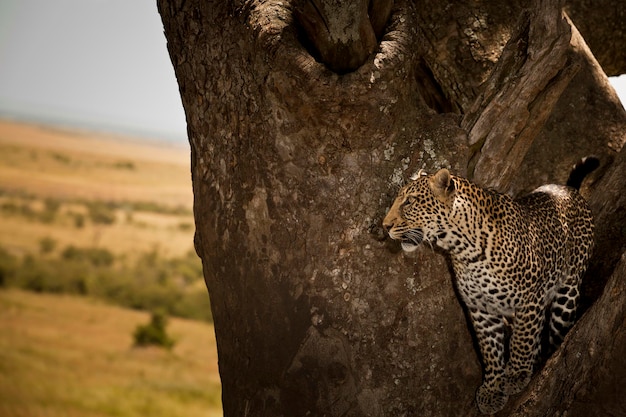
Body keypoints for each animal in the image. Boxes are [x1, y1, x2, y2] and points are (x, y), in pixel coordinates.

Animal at [380, 158, 596, 412]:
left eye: (410, 201)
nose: (385, 226)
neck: (464, 250)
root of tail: (567, 189)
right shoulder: (481, 309)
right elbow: (490, 351)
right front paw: (493, 389)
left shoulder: (529, 299)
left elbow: (522, 340)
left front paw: (516, 375)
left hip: (567, 291)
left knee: (557, 330)